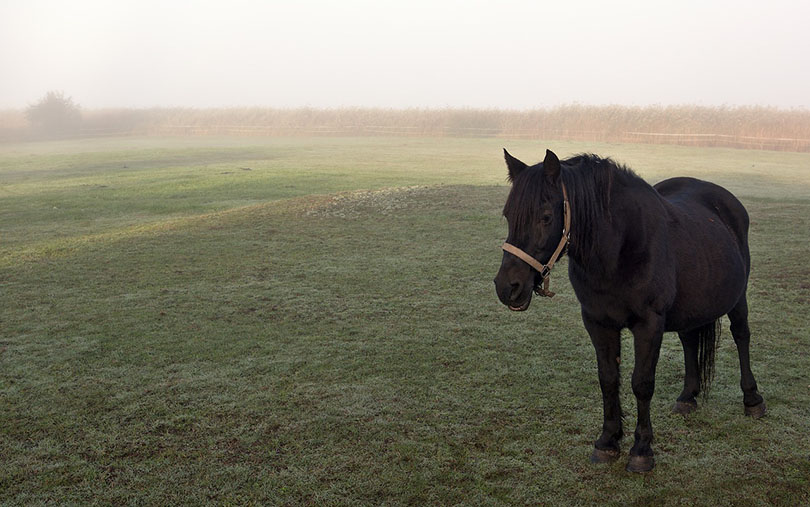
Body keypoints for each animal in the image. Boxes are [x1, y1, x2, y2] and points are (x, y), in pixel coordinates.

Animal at [492, 149, 764, 474]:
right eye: (508, 215)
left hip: (738, 298)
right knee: (689, 341)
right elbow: (609, 379)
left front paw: (641, 449)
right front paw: (607, 442)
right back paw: (687, 397)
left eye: (545, 217)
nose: (507, 287)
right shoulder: (598, 322)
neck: (617, 250)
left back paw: (752, 399)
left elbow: (642, 383)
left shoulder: (648, 324)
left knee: (741, 335)